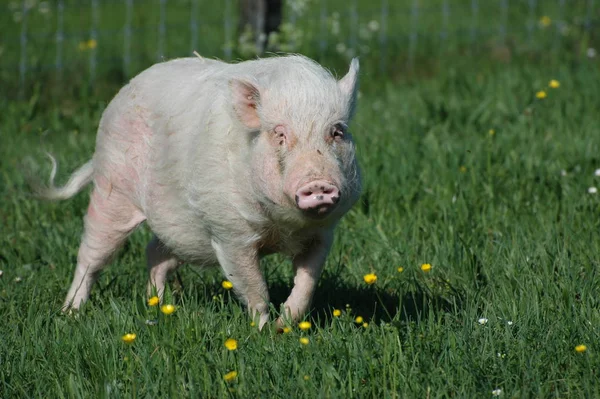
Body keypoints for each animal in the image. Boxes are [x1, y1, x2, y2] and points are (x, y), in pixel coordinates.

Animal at [41, 54, 366, 328]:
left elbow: (307, 283)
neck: (281, 228)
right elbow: (254, 288)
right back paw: (70, 313)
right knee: (90, 256)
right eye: (280, 133)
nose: (318, 184)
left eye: (336, 132)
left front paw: (284, 326)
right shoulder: (230, 233)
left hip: (182, 230)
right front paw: (263, 332)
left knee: (154, 253)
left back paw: (159, 306)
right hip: (112, 189)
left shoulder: (323, 233)